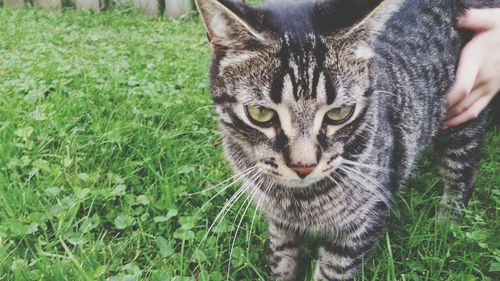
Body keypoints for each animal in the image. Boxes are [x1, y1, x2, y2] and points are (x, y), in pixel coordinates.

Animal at [193, 0, 498, 278]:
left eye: (339, 113)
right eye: (260, 113)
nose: (303, 166)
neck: (298, 202)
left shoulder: (360, 225)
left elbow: (332, 271)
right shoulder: (279, 225)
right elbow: (281, 260)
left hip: (464, 119)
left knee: (462, 175)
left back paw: (445, 224)